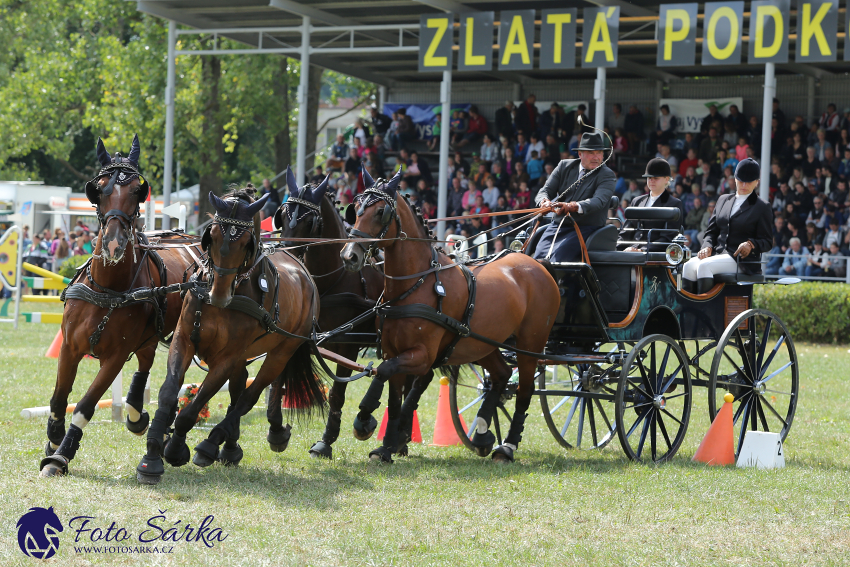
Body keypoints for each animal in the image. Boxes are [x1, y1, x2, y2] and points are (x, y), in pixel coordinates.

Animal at [39, 136, 215, 480]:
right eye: (99, 189)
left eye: (137, 190)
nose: (114, 244)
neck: (107, 288)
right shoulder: (69, 346)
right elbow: (58, 399)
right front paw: (53, 440)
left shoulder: (116, 356)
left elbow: (84, 405)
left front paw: (61, 455)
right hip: (151, 334)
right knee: (145, 363)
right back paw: (137, 413)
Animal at [136, 186, 324, 484]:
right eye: (211, 235)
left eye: (246, 241)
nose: (219, 295)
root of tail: (301, 268)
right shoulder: (184, 340)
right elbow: (168, 393)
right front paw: (153, 452)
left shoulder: (227, 358)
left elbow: (195, 406)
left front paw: (176, 448)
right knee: (239, 389)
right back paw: (230, 446)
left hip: (282, 350)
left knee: (250, 396)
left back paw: (213, 443)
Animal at [272, 166, 430, 460]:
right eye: (282, 215)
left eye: (309, 222)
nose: (286, 256)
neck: (329, 281)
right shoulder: (293, 335)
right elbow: (277, 378)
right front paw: (276, 430)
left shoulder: (348, 344)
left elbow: (337, 393)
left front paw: (326, 441)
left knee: (419, 379)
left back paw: (394, 433)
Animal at [342, 175, 560, 464]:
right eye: (356, 209)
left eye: (381, 212)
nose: (349, 255)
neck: (416, 284)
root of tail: (538, 265)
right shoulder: (393, 351)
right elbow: (393, 395)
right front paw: (385, 447)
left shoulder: (422, 355)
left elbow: (384, 373)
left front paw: (365, 419)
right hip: (482, 343)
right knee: (501, 375)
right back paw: (482, 433)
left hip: (529, 345)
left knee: (525, 391)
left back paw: (507, 447)